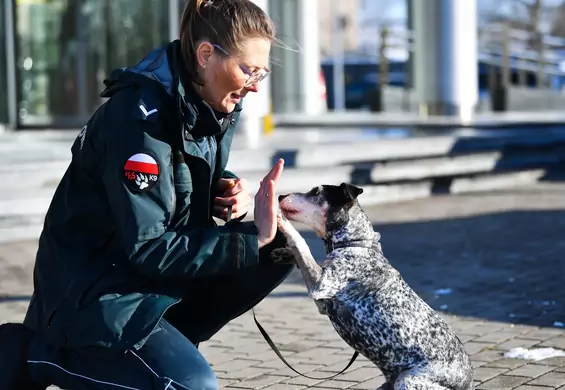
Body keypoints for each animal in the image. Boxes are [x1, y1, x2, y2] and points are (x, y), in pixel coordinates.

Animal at [276, 183, 474, 390]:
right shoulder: (323, 302)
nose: (280, 196)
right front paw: (285, 253)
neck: (356, 243)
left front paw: (281, 220)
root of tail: (468, 383)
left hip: (407, 380)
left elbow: (301, 244)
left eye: (316, 192)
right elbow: (301, 255)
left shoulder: (320, 283)